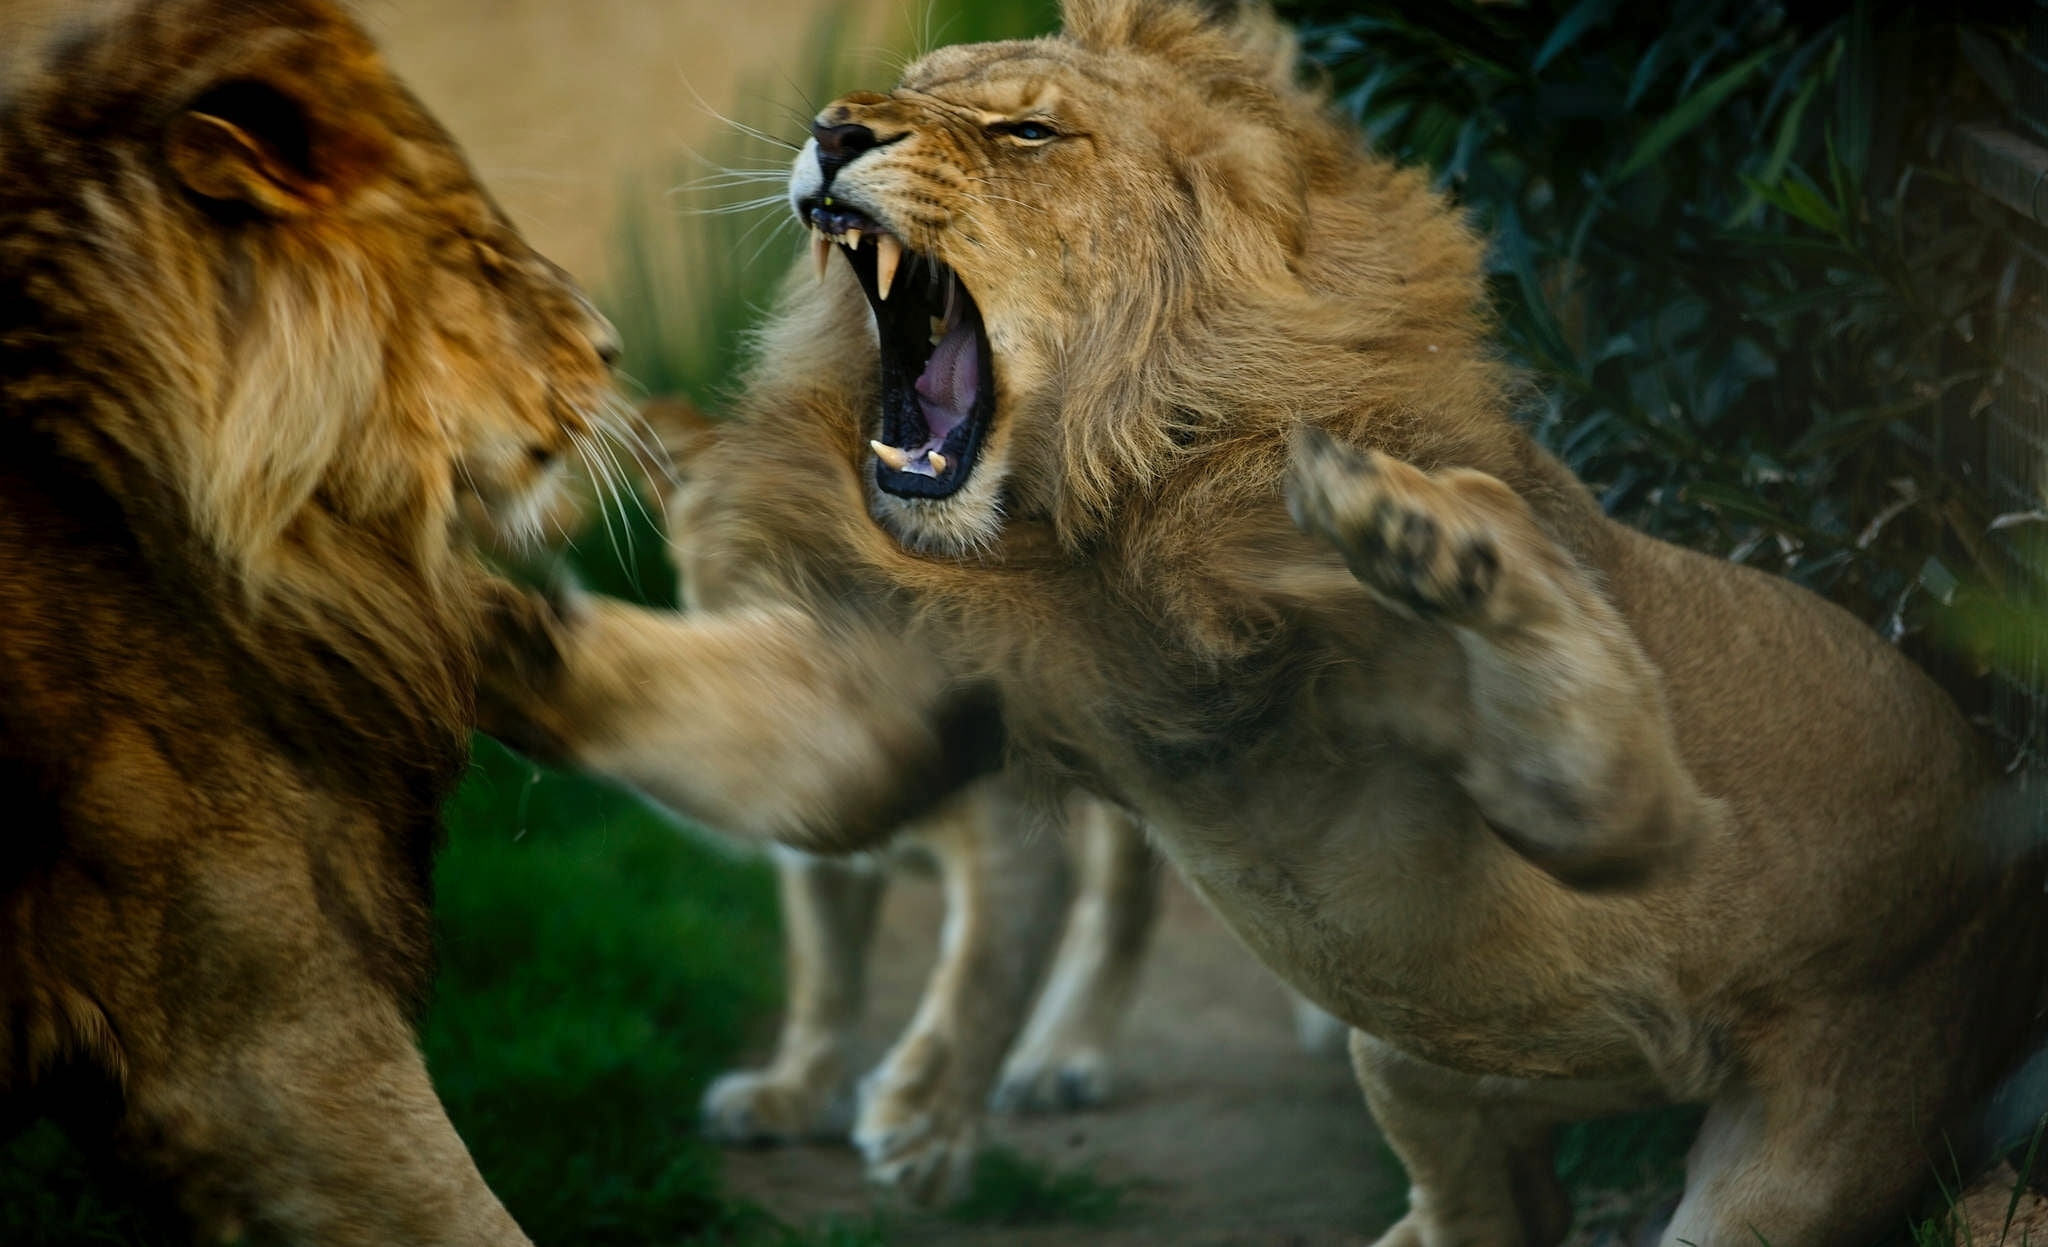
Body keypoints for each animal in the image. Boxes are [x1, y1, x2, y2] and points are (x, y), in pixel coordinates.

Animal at [478, 0, 2048, 1241]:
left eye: (1023, 132)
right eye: (911, 85)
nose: (827, 125)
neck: (1082, 533)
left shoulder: (1614, 808)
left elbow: (1601, 751)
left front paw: (1421, 527)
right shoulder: (917, 695)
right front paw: (466, 602)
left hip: (1805, 1142)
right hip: (1413, 1054)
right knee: (1495, 1205)